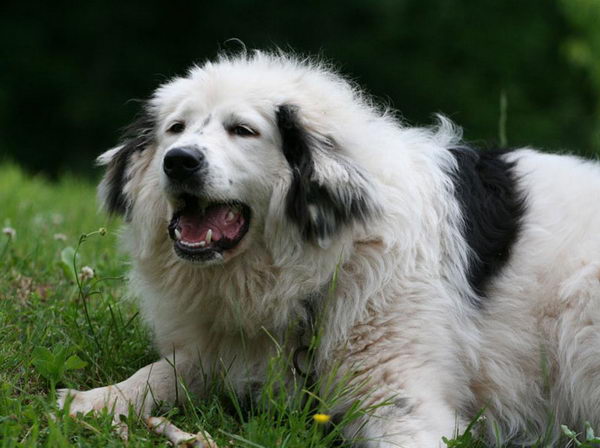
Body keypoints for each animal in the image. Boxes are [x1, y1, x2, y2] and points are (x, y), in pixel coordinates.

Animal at [57, 51, 600, 444]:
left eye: (243, 130)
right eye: (175, 128)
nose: (179, 160)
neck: (334, 257)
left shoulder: (401, 402)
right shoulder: (222, 351)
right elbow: (163, 371)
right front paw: (97, 400)